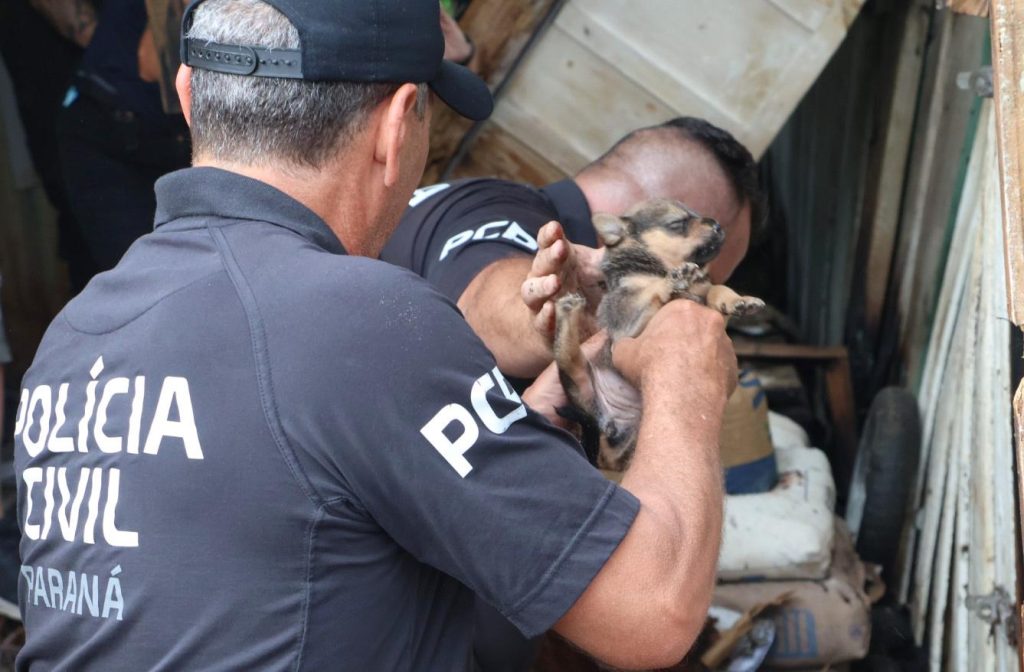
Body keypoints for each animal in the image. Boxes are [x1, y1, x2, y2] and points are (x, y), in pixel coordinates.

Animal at [552, 199, 761, 469]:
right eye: (677, 223)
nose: (717, 224)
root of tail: (606, 424)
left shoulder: (708, 302)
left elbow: (716, 288)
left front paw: (739, 301)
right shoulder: (624, 319)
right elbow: (649, 291)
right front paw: (671, 281)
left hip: (633, 438)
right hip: (576, 381)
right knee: (567, 358)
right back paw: (567, 311)